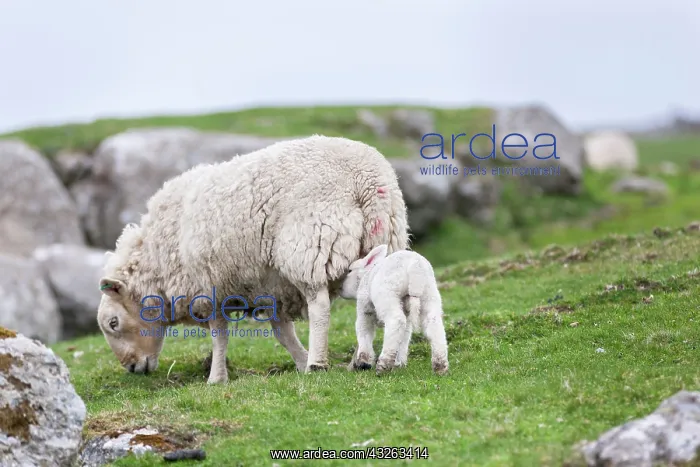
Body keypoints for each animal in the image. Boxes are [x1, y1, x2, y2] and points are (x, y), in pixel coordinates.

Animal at [96, 135, 409, 384]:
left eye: (113, 323)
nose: (132, 368)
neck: (158, 258)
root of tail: (366, 180)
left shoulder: (209, 287)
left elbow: (219, 337)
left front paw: (216, 378)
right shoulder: (270, 285)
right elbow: (282, 332)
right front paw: (299, 360)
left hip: (308, 245)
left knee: (319, 308)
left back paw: (318, 362)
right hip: (385, 239)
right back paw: (359, 359)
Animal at [339, 244, 448, 375]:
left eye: (349, 271)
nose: (340, 288)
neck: (367, 275)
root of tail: (415, 267)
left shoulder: (364, 307)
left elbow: (364, 331)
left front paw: (364, 361)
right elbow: (405, 336)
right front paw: (399, 362)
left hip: (388, 293)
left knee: (396, 321)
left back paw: (383, 365)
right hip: (429, 293)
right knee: (433, 323)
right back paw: (440, 366)